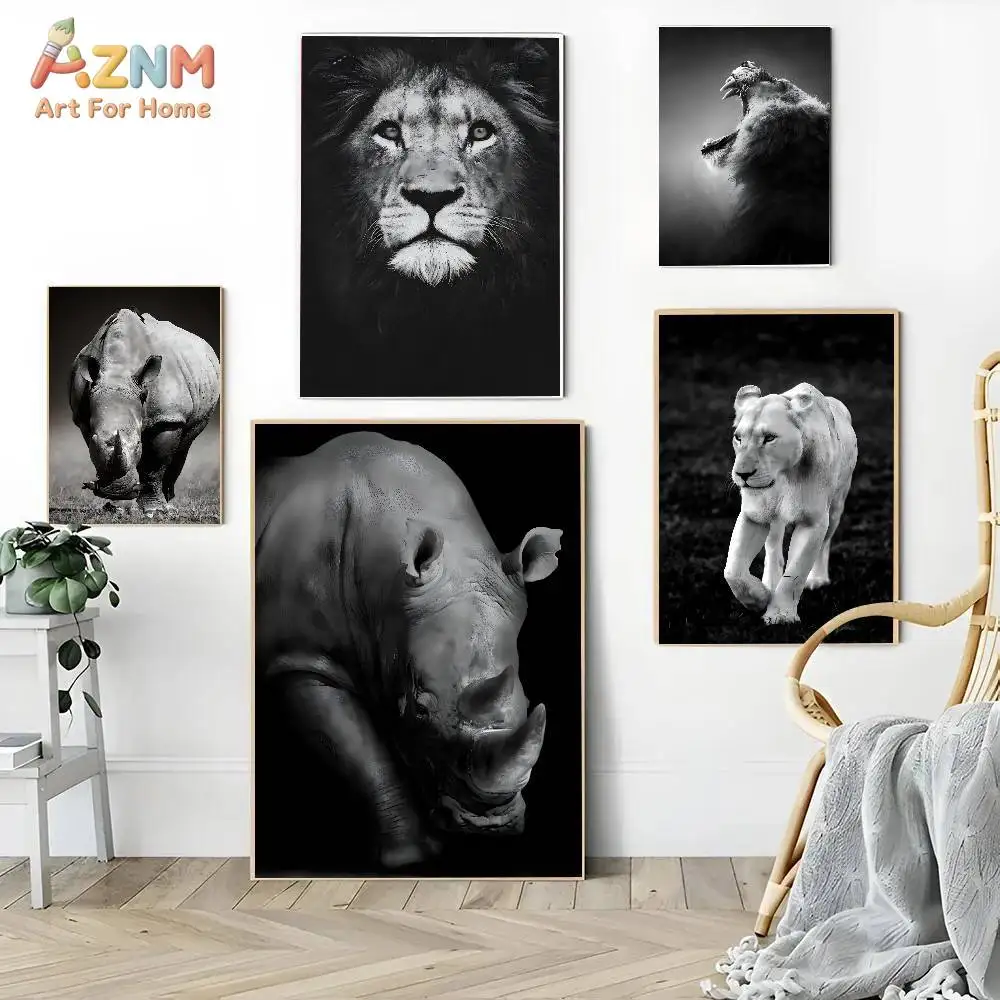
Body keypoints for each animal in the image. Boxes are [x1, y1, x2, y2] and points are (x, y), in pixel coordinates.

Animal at [723, 382, 857, 625]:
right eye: (738, 438)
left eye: (769, 438)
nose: (742, 474)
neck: (783, 476)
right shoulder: (753, 515)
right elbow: (733, 571)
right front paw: (760, 598)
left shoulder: (813, 521)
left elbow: (795, 574)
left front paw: (780, 615)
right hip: (774, 520)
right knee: (773, 548)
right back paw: (769, 584)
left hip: (836, 508)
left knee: (825, 543)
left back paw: (817, 579)